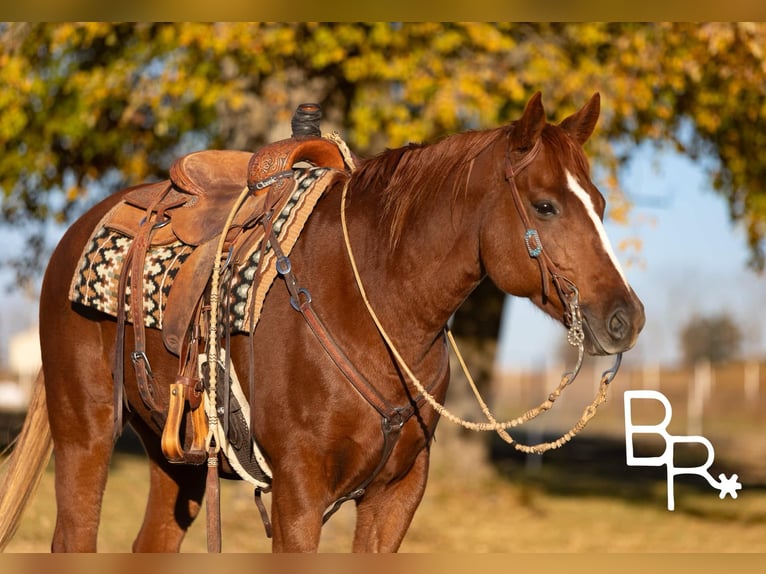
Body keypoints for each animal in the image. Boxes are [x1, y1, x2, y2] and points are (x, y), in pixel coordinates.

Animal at [0, 92, 644, 552]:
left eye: (599, 203)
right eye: (545, 206)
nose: (625, 318)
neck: (371, 307)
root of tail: (78, 231)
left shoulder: (395, 497)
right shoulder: (298, 494)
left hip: (174, 458)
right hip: (84, 434)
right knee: (73, 536)